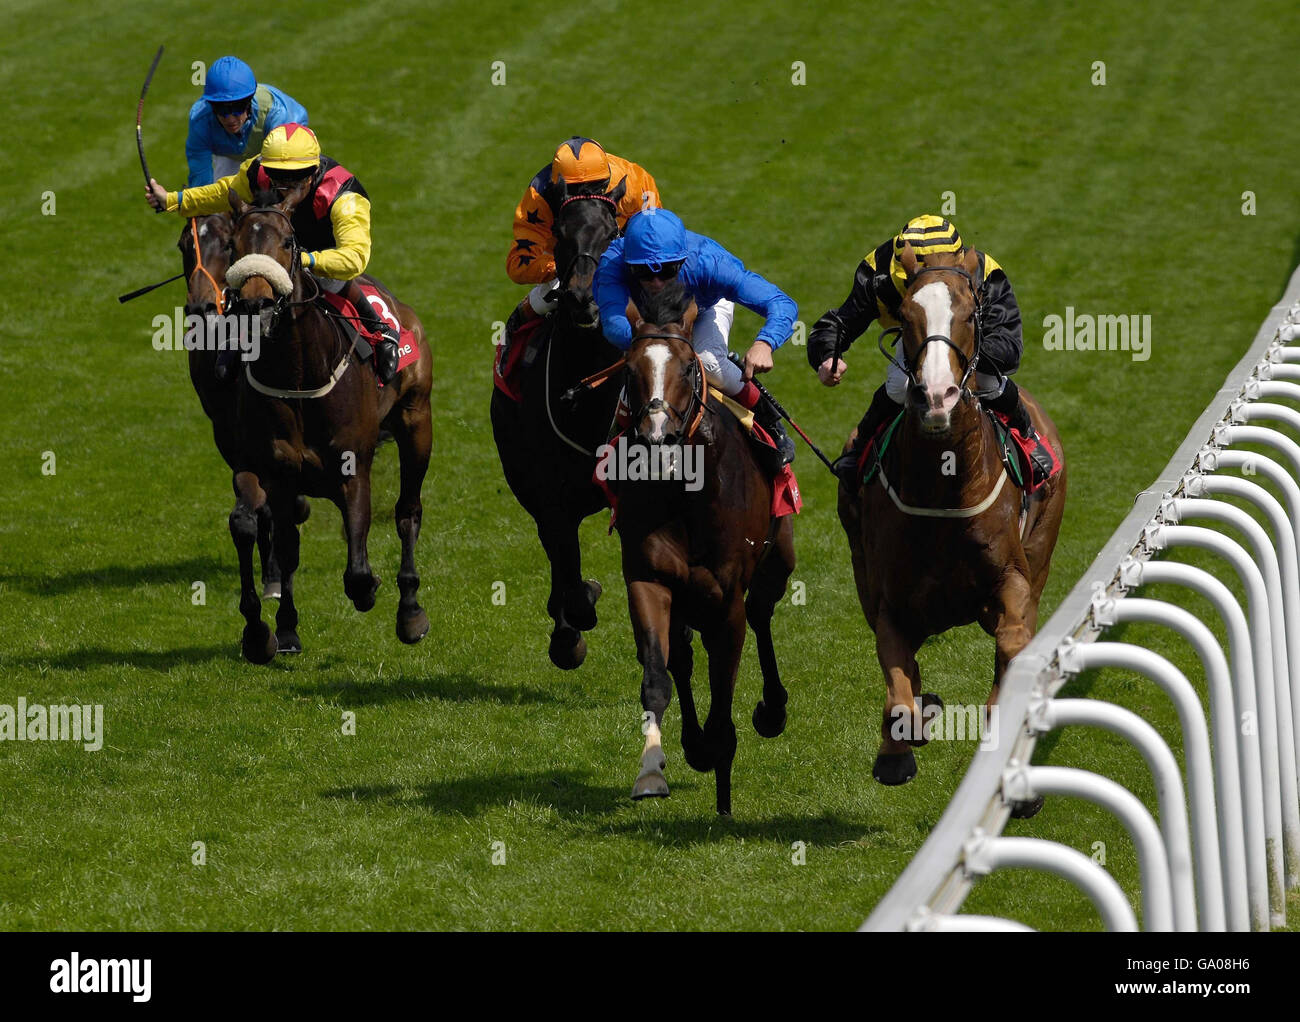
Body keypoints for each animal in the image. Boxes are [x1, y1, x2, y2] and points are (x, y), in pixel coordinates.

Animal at [220, 182, 428, 660]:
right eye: (233, 245)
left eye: (288, 241)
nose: (256, 304)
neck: (298, 374)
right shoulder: (266, 468)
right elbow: (259, 532)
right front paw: (266, 630)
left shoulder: (353, 470)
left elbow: (357, 570)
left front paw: (371, 589)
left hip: (416, 422)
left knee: (408, 512)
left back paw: (410, 611)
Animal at [488, 183, 626, 670]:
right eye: (562, 235)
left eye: (612, 233)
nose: (581, 299)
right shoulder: (548, 498)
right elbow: (569, 575)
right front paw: (571, 630)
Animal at [842, 243, 1066, 790]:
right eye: (906, 316)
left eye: (969, 314)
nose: (937, 396)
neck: (946, 491)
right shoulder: (889, 601)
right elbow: (898, 691)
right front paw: (898, 749)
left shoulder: (1012, 579)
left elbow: (1013, 639)